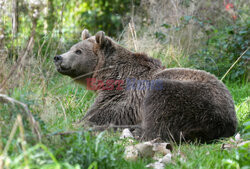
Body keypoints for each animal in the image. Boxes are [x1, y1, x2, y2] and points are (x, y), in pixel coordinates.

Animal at [53, 29, 237, 143]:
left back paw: (136, 132)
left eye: (78, 51)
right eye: (72, 48)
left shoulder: (123, 95)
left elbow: (99, 115)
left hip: (191, 98)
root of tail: (226, 121)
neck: (109, 75)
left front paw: (77, 123)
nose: (57, 57)